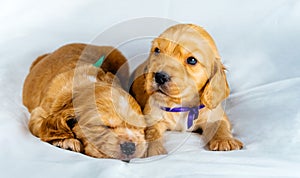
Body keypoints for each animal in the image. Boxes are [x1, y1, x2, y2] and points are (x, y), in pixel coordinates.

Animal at [131, 23, 244, 156]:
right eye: (157, 50)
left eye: (192, 60)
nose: (159, 76)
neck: (182, 106)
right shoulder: (152, 115)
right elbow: (151, 131)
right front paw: (150, 149)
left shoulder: (215, 114)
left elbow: (220, 125)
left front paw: (224, 140)